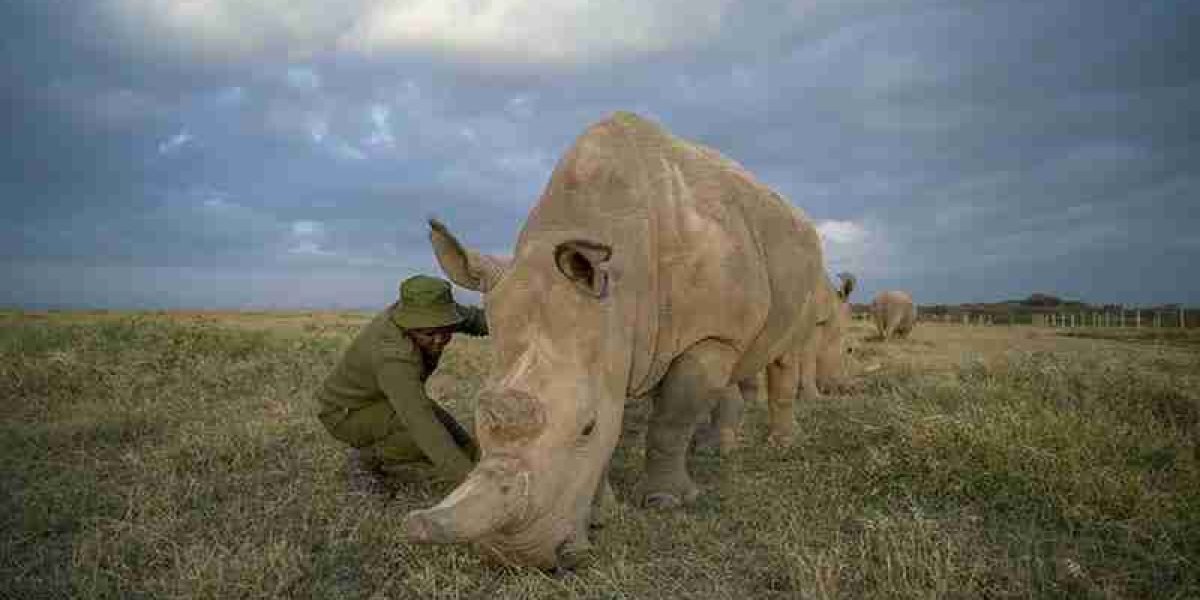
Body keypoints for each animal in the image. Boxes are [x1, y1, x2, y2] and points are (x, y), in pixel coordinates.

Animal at [403, 112, 830, 569]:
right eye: (479, 416)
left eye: (586, 428)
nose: (516, 558)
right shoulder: (611, 335)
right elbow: (619, 421)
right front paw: (602, 516)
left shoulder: (706, 332)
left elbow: (672, 418)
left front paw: (664, 502)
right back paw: (715, 450)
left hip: (802, 265)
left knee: (785, 352)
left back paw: (781, 444)